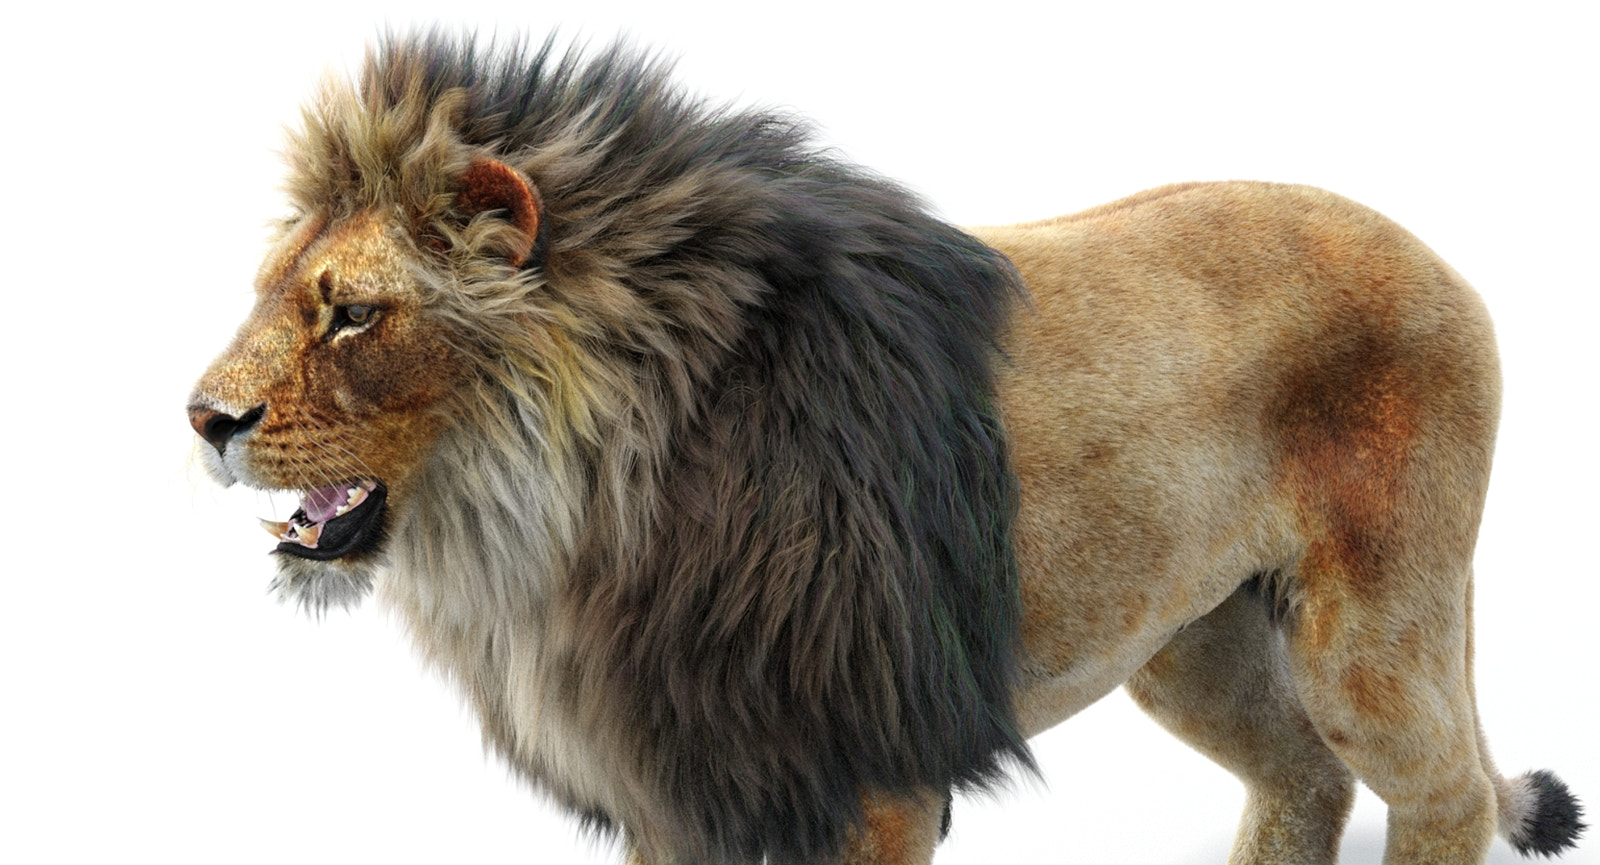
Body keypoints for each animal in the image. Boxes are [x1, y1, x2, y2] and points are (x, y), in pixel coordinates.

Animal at [188, 33, 1583, 865]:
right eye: (274, 292)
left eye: (352, 313)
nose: (203, 420)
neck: (574, 518)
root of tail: (1436, 255)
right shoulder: (677, 782)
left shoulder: (873, 777)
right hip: (1193, 640)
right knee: (1303, 780)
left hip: (1371, 629)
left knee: (1443, 792)